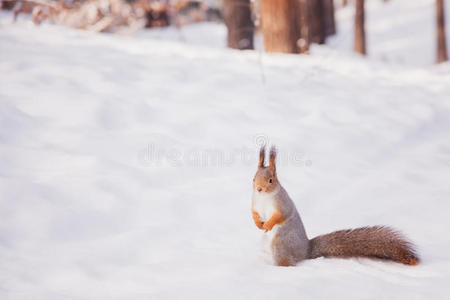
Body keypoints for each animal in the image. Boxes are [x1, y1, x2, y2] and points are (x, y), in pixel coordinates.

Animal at [251, 146, 420, 266]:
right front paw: (258, 223)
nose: (258, 188)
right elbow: (253, 213)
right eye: (253, 178)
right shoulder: (254, 203)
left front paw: (269, 224)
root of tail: (305, 250)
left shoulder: (282, 203)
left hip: (281, 244)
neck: (264, 197)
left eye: (271, 180)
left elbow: (280, 215)